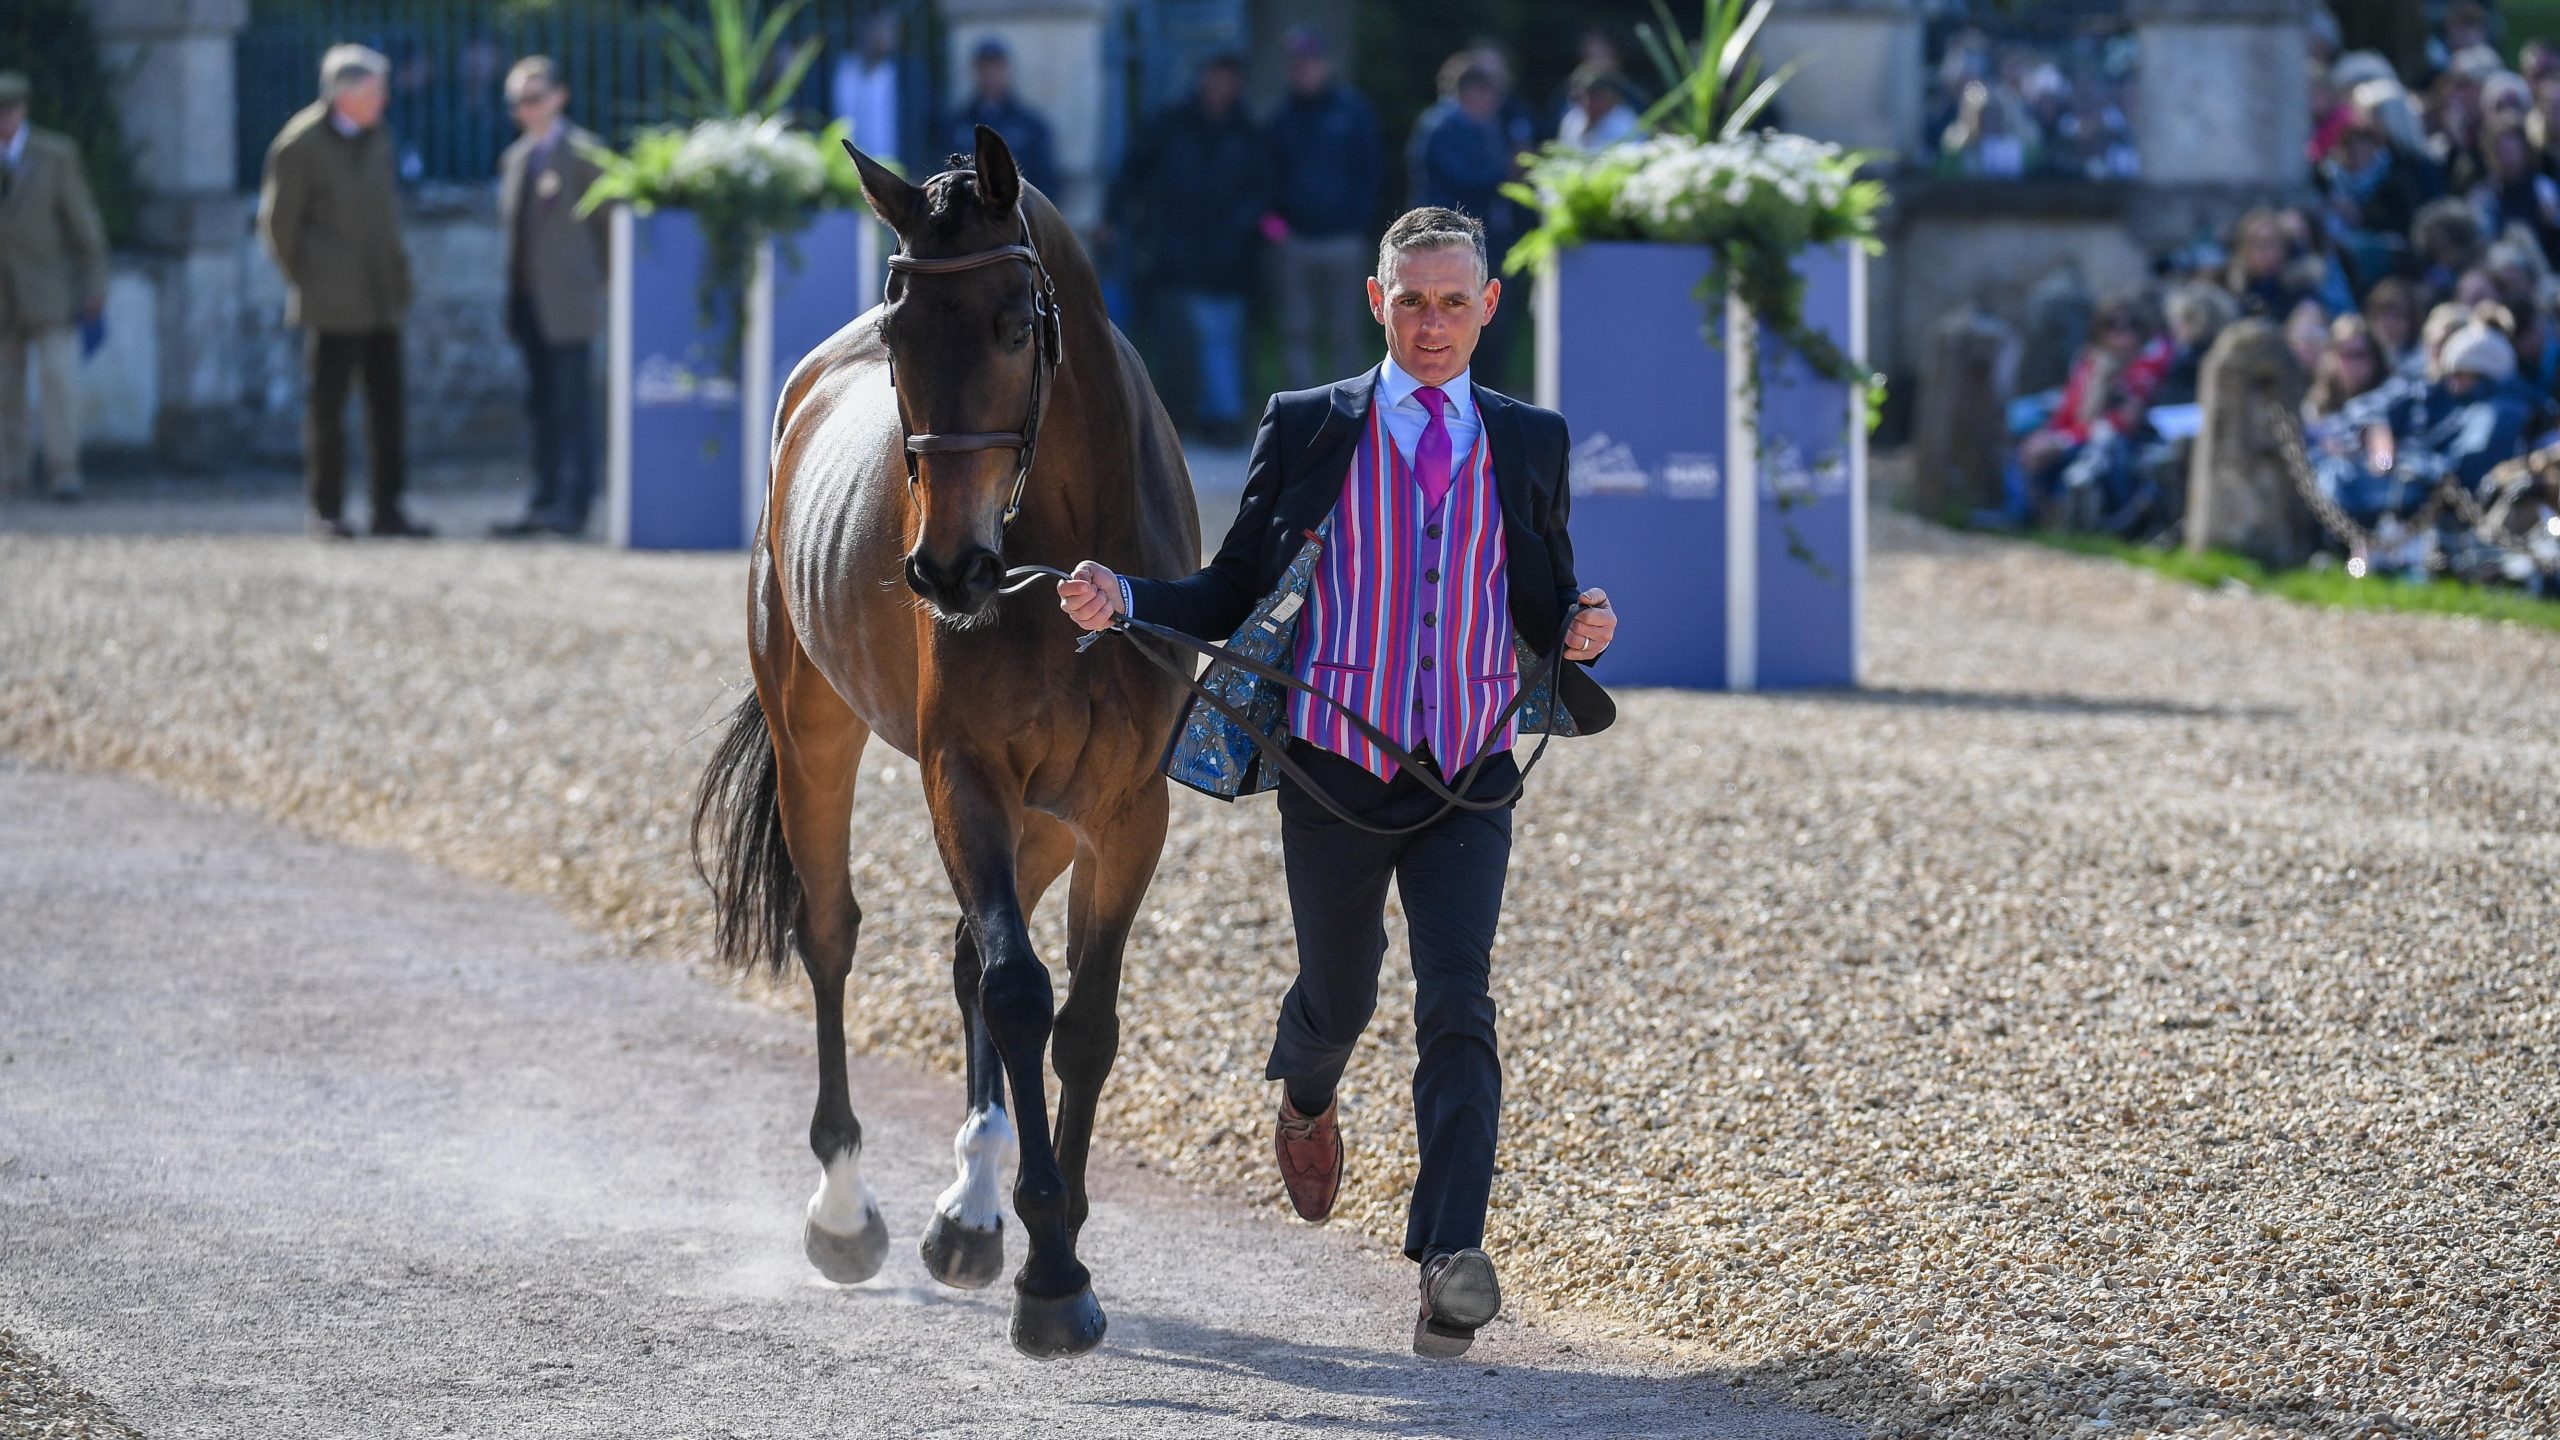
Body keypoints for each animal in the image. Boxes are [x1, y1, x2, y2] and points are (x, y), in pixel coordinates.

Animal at [691, 125, 1199, 1358]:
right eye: (900, 334)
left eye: (1016, 325)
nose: (946, 570)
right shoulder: (964, 775)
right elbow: (1018, 990)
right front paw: (1052, 1275)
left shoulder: (1125, 808)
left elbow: (1082, 1022)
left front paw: (1044, 1235)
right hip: (814, 733)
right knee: (832, 934)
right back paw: (847, 1210)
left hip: (1047, 815)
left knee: (970, 952)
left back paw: (970, 1210)